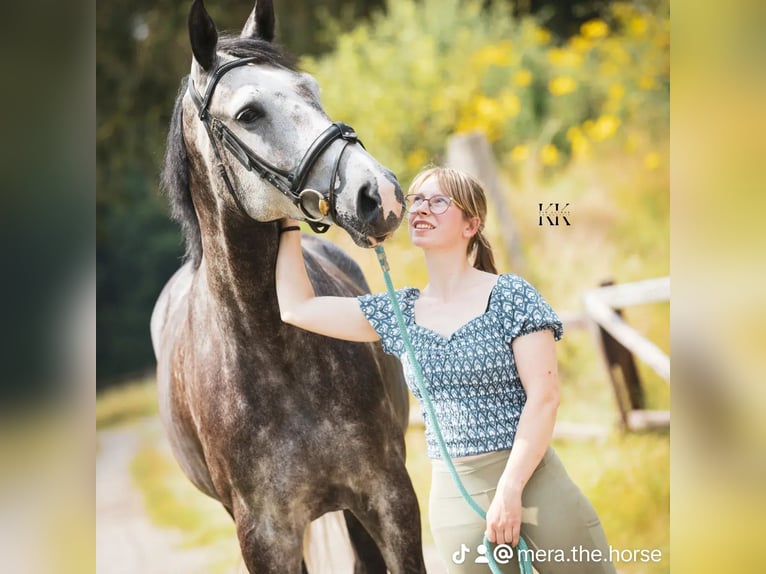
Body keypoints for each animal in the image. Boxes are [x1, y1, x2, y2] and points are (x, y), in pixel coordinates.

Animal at [149, 1, 426, 572]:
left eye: (311, 89)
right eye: (248, 114)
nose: (380, 193)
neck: (274, 352)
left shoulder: (389, 495)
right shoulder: (264, 535)